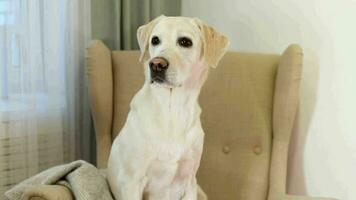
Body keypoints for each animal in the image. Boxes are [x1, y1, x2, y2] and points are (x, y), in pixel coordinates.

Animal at [108, 16, 229, 200]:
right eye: (155, 40)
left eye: (185, 42)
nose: (156, 64)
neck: (172, 111)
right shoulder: (131, 181)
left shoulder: (189, 180)